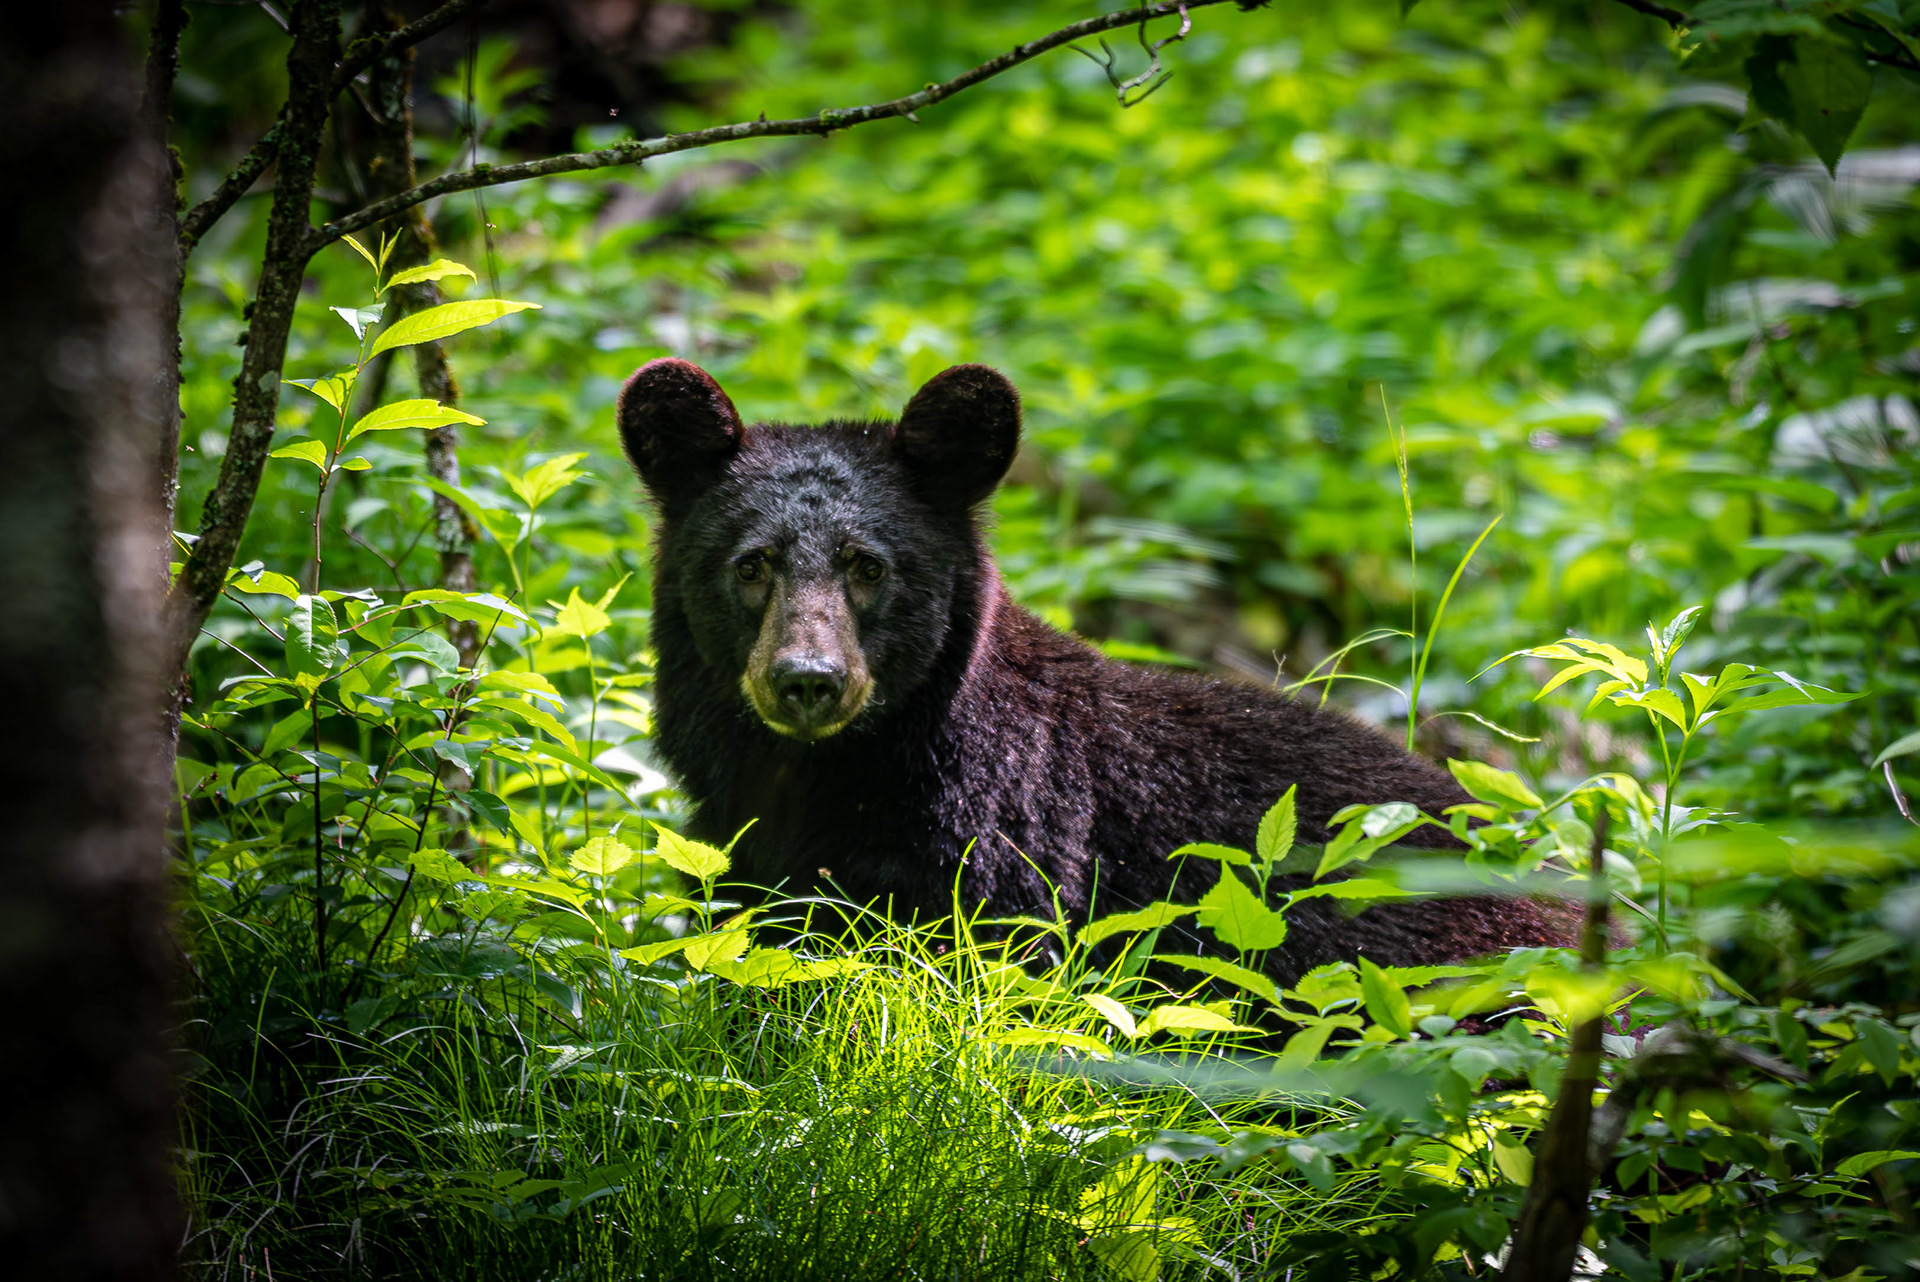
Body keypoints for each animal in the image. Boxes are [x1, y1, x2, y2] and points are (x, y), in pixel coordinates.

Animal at [617, 357, 1573, 983]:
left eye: (868, 565)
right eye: (752, 564)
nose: (808, 678)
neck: (823, 778)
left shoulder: (1004, 864)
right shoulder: (743, 852)